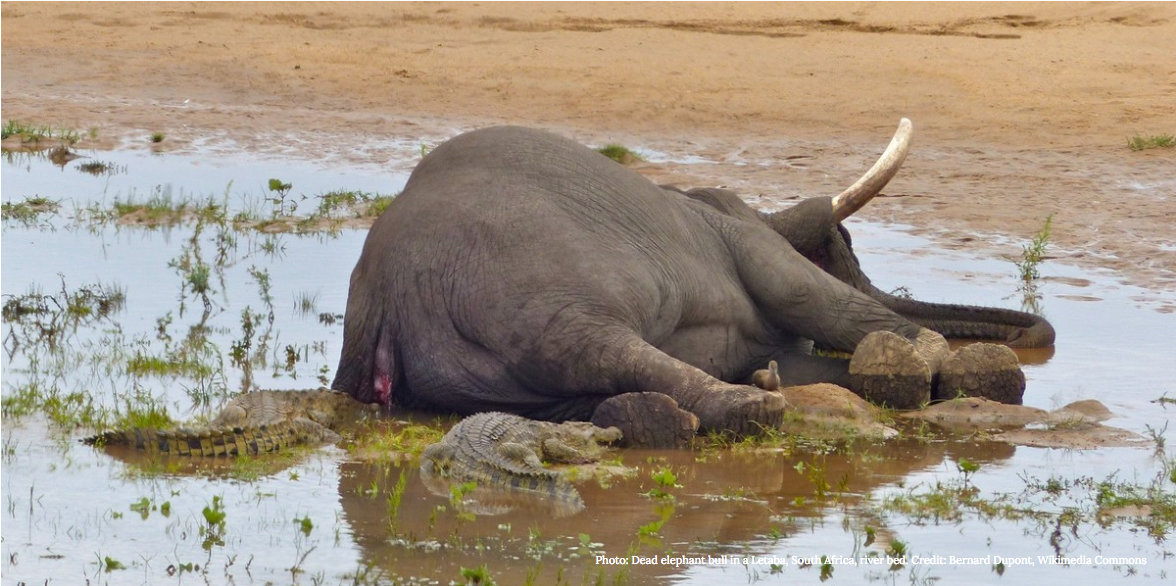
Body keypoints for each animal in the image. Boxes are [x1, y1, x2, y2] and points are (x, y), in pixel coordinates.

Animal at [331, 120, 1054, 436]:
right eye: (841, 246)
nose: (1039, 335)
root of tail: (386, 299)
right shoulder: (741, 238)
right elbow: (811, 296)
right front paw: (931, 359)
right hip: (522, 287)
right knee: (588, 345)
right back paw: (755, 406)